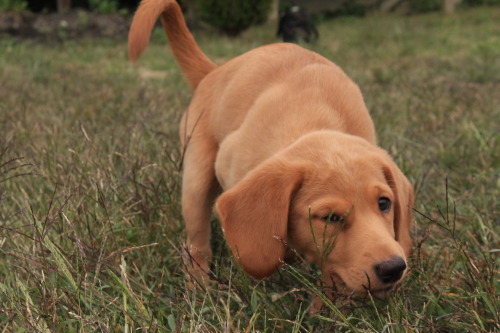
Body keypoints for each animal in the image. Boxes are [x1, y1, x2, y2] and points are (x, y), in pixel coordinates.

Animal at [129, 0, 414, 306]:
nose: (394, 268)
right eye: (329, 218)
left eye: (384, 203)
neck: (315, 117)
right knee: (197, 241)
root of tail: (215, 72)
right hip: (196, 177)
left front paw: (324, 306)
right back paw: (199, 287)